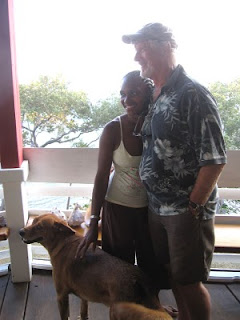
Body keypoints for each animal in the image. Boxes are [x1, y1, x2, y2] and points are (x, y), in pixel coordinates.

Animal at [19, 212, 172, 320]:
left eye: (39, 227)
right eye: (33, 221)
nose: (20, 231)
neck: (64, 242)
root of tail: (139, 280)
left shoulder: (61, 296)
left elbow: (65, 316)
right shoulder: (83, 292)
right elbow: (83, 310)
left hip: (117, 311)